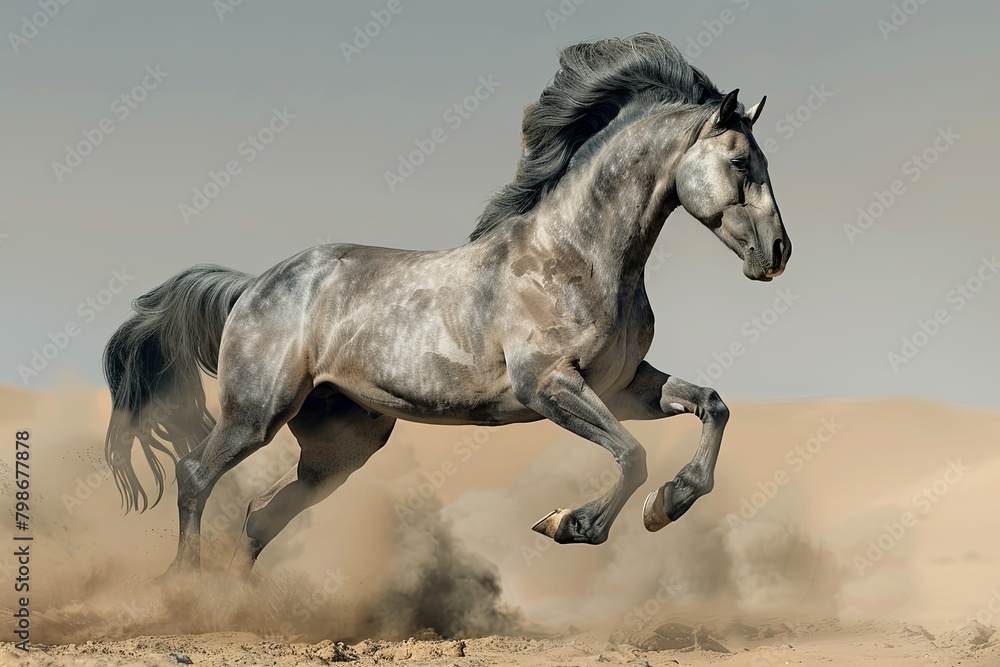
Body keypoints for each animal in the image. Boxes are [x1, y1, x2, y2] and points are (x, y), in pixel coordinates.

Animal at [103, 33, 791, 578]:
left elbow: (711, 406)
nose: (778, 252)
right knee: (196, 475)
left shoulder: (623, 386)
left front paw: (669, 504)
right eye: (740, 162)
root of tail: (252, 286)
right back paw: (185, 587)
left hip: (340, 446)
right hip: (255, 414)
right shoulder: (550, 386)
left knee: (260, 517)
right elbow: (631, 456)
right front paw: (569, 523)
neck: (577, 256)